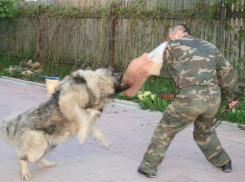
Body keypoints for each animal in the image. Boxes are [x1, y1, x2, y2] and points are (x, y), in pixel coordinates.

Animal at [0, 66, 129, 180]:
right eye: (117, 74)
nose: (126, 74)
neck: (98, 86)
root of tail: (17, 122)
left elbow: (92, 126)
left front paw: (102, 140)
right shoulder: (67, 103)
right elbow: (82, 118)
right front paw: (82, 137)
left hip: (48, 144)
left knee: (38, 159)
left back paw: (47, 163)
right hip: (36, 145)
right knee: (23, 158)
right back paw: (25, 173)